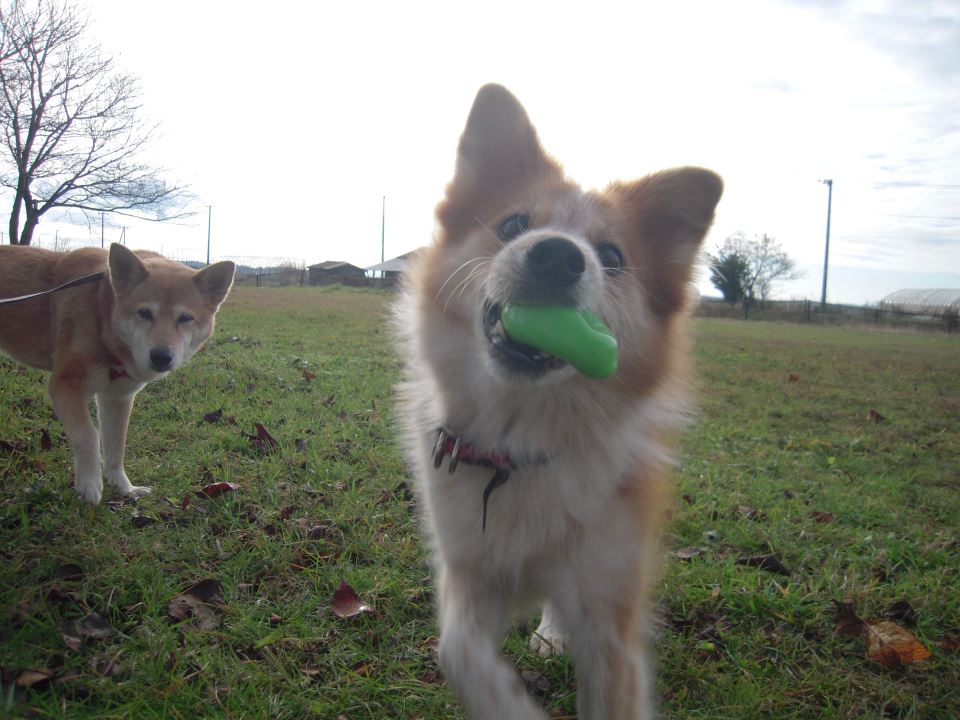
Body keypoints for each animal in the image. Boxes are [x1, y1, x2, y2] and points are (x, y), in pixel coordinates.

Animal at [0, 245, 236, 504]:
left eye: (185, 318)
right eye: (144, 313)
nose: (161, 356)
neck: (101, 313)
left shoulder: (117, 397)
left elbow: (116, 446)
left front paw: (124, 487)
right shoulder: (64, 385)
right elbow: (88, 435)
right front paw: (89, 484)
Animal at [396, 86, 720, 720]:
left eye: (612, 255)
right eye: (514, 223)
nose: (557, 256)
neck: (521, 441)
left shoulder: (609, 611)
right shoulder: (470, 566)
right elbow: (458, 651)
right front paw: (513, 708)